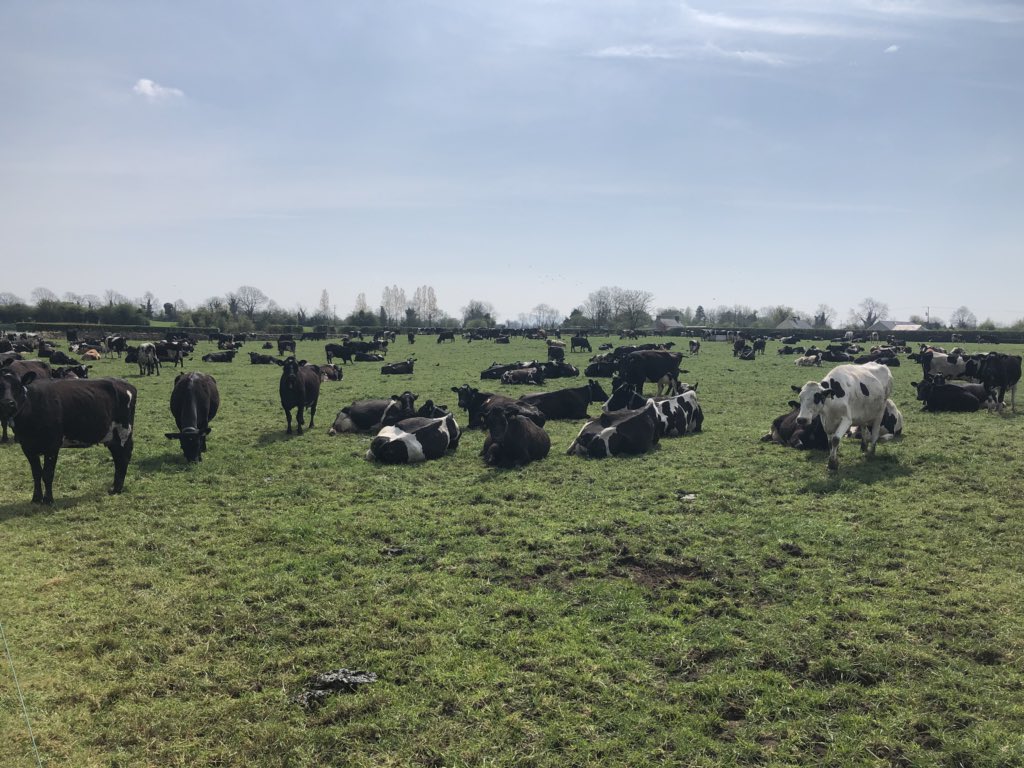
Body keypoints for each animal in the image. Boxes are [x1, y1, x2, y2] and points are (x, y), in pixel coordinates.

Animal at [0, 370, 136, 503]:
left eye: (18, 386)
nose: (7, 403)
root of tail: (124, 383)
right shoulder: (27, 446)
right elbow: (36, 473)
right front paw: (36, 498)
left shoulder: (52, 445)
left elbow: (48, 473)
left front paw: (48, 499)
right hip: (112, 437)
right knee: (118, 458)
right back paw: (114, 488)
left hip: (124, 431)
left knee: (123, 458)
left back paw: (117, 489)